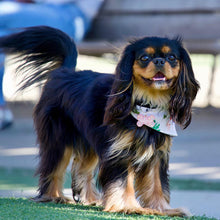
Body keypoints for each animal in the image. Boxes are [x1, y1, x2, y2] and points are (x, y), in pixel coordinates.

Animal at [0, 25, 199, 217]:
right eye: (144, 58)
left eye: (172, 57)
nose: (159, 61)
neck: (148, 103)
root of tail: (64, 72)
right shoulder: (119, 151)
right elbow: (123, 182)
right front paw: (128, 207)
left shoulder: (156, 154)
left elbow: (157, 184)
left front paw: (163, 210)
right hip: (59, 140)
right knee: (53, 168)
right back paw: (54, 196)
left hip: (90, 141)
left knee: (83, 169)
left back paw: (90, 199)